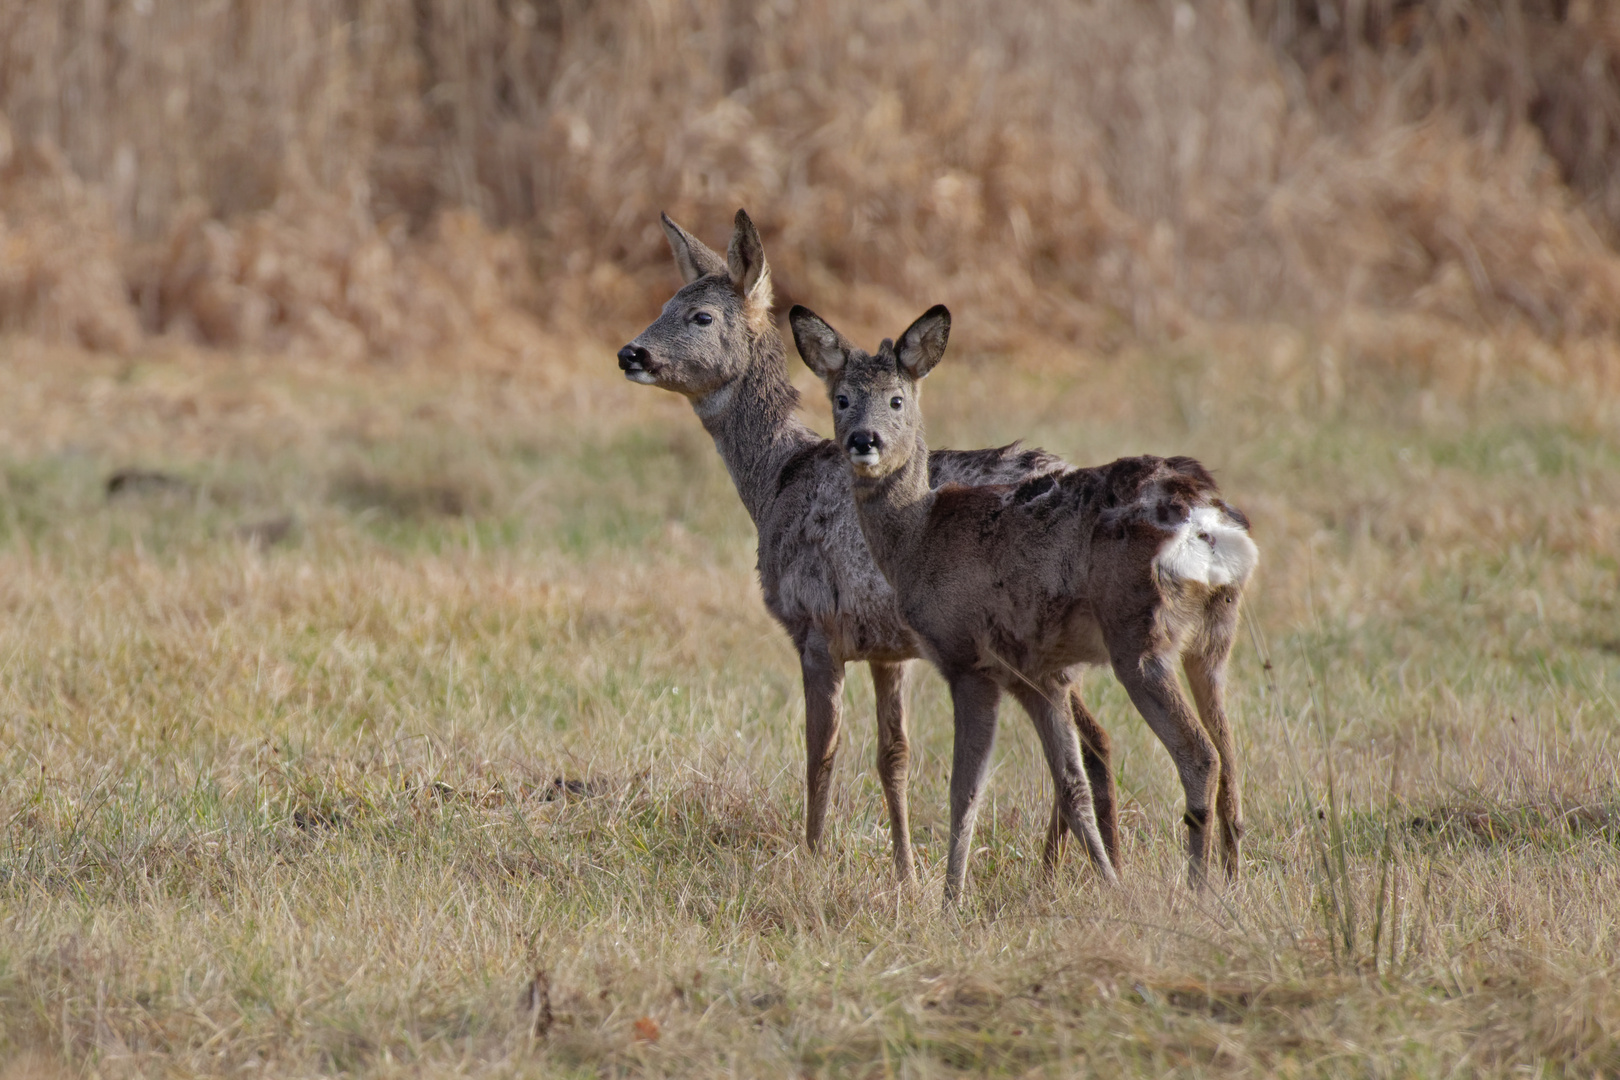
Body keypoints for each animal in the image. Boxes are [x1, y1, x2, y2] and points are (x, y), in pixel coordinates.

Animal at [612, 213, 1121, 887]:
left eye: (700, 316)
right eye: (666, 303)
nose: (630, 353)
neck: (776, 480)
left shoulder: (814, 625)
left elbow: (820, 751)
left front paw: (812, 859)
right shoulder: (887, 647)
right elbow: (892, 757)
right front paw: (905, 873)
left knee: (1089, 739)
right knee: (1090, 739)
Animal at [790, 304, 1257, 906]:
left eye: (896, 399)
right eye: (841, 397)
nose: (862, 441)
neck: (918, 536)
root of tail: (1207, 520)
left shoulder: (967, 660)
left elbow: (965, 789)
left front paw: (950, 898)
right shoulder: (1038, 675)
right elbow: (1071, 783)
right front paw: (1108, 883)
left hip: (1140, 638)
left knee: (1200, 755)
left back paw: (1197, 889)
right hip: (1213, 640)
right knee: (1231, 753)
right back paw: (1231, 880)